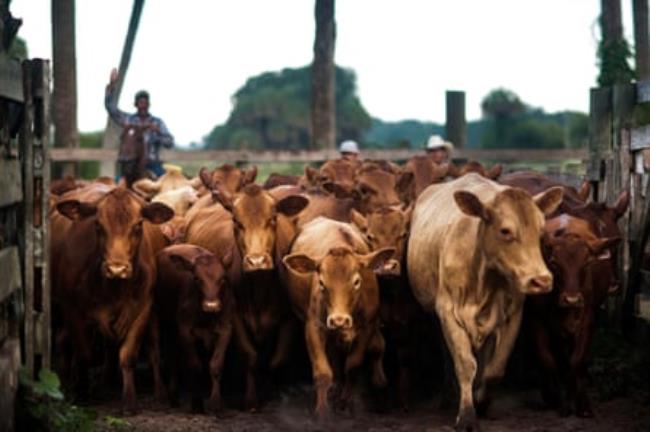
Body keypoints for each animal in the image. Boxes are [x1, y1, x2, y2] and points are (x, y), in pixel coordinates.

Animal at [51, 187, 172, 414]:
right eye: (98, 225)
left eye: (138, 225)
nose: (117, 268)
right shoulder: (72, 309)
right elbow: (84, 353)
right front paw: (82, 394)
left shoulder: (143, 307)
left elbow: (128, 355)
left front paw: (129, 401)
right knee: (66, 342)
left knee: (152, 345)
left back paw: (159, 392)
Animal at [154, 243, 235, 412]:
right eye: (197, 279)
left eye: (222, 279)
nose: (211, 306)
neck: (206, 318)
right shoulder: (185, 331)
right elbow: (195, 365)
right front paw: (196, 403)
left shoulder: (226, 329)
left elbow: (216, 365)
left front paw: (216, 403)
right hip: (161, 320)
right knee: (164, 354)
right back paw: (168, 395)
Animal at [280, 218, 392, 416]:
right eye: (321, 282)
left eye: (357, 281)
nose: (339, 320)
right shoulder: (313, 327)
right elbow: (323, 372)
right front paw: (322, 411)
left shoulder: (367, 327)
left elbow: (353, 366)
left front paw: (345, 403)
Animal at [404, 173, 560, 432]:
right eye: (505, 231)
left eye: (540, 229)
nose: (541, 280)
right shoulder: (448, 312)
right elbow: (465, 364)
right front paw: (467, 416)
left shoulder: (513, 313)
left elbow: (495, 368)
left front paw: (482, 402)